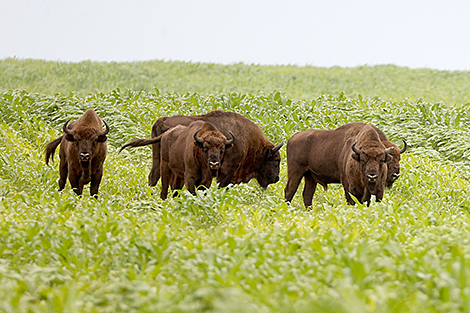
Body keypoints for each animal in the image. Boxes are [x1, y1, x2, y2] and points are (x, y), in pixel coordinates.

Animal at [132, 109, 282, 188]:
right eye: (276, 160)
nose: (276, 178)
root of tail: (162, 120)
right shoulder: (227, 171)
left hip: (157, 157)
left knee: (153, 176)